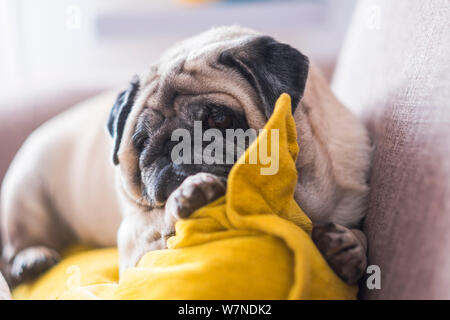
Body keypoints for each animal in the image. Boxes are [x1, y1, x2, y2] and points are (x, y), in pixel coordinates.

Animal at [0, 25, 370, 290]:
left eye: (219, 119)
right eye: (141, 142)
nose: (171, 145)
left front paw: (349, 247)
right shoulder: (135, 243)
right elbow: (161, 220)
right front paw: (193, 195)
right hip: (25, 195)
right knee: (14, 246)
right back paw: (32, 258)